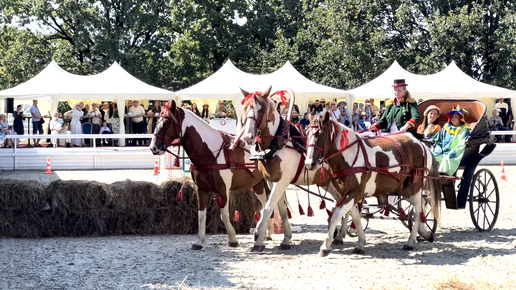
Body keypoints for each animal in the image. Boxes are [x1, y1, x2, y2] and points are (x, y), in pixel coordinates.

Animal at [149, 100, 288, 249]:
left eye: (167, 121)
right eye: (157, 120)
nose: (153, 147)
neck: (210, 151)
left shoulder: (223, 190)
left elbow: (224, 215)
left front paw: (232, 239)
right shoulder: (201, 189)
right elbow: (201, 215)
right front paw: (199, 241)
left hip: (271, 183)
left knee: (273, 205)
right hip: (258, 185)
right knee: (266, 204)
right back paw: (266, 233)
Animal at [239, 86, 350, 251]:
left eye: (261, 109)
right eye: (245, 108)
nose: (247, 137)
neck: (278, 141)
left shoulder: (282, 181)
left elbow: (268, 207)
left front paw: (258, 238)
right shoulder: (273, 181)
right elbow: (280, 209)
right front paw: (286, 239)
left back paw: (342, 233)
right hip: (328, 182)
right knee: (341, 202)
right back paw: (339, 233)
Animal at [304, 113, 442, 256]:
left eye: (321, 134)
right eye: (306, 132)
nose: (309, 164)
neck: (350, 156)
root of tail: (422, 145)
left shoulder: (355, 193)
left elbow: (336, 215)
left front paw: (325, 246)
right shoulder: (346, 193)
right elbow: (354, 215)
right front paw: (360, 242)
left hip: (414, 187)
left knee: (418, 209)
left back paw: (410, 241)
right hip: (405, 190)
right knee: (420, 207)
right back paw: (425, 233)